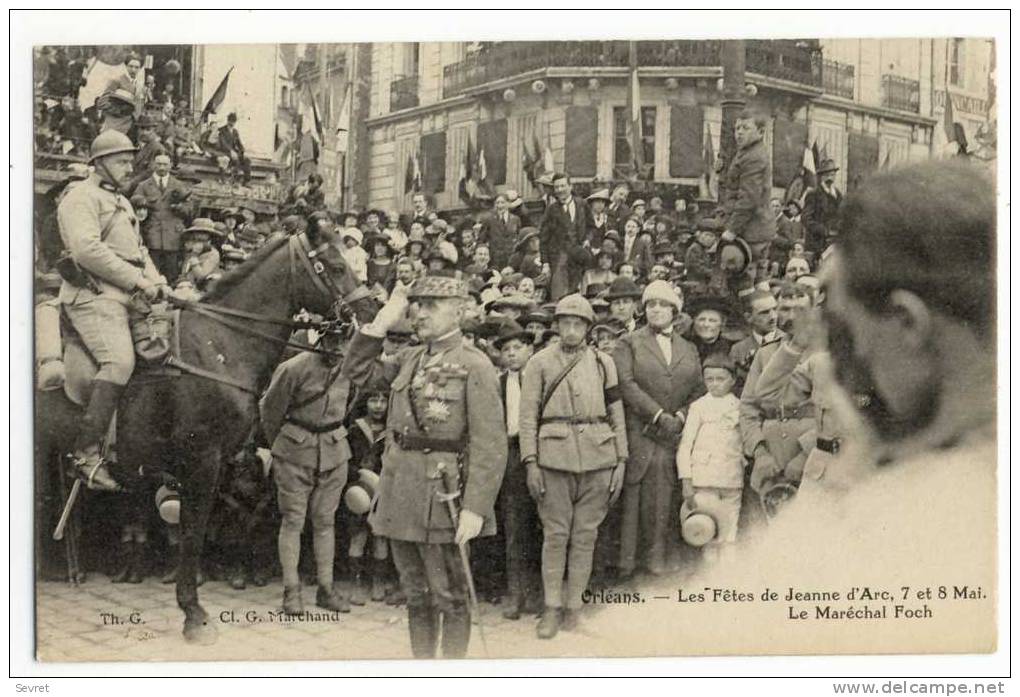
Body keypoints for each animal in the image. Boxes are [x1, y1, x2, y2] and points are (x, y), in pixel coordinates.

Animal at [34, 231, 375, 644]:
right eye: (337, 266)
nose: (372, 310)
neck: (219, 345)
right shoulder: (201, 460)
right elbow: (193, 535)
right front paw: (194, 615)